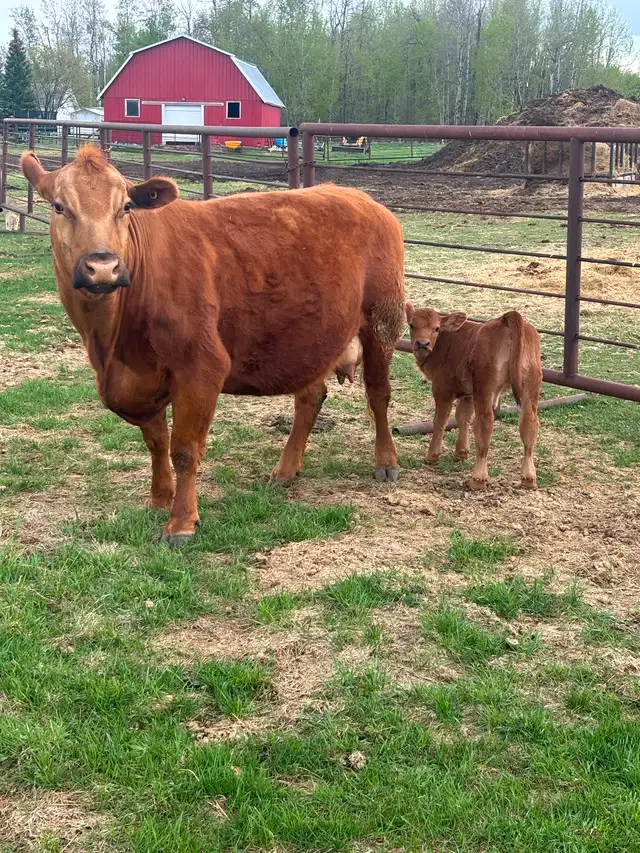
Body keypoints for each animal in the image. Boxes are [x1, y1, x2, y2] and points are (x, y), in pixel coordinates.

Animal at [20, 145, 405, 545]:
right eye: (59, 206)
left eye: (125, 207)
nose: (103, 267)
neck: (113, 346)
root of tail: (361, 198)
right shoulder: (140, 380)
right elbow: (156, 442)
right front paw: (159, 499)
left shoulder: (201, 367)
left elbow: (184, 448)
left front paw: (181, 522)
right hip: (311, 340)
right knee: (310, 397)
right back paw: (285, 470)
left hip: (381, 320)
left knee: (378, 393)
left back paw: (386, 462)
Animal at [405, 301, 542, 490]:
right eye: (412, 325)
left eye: (436, 328)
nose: (422, 344)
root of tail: (505, 320)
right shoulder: (468, 393)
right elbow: (463, 417)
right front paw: (461, 452)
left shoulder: (442, 389)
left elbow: (440, 420)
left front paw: (432, 455)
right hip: (530, 386)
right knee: (529, 424)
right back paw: (528, 478)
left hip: (485, 388)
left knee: (485, 424)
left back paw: (478, 478)